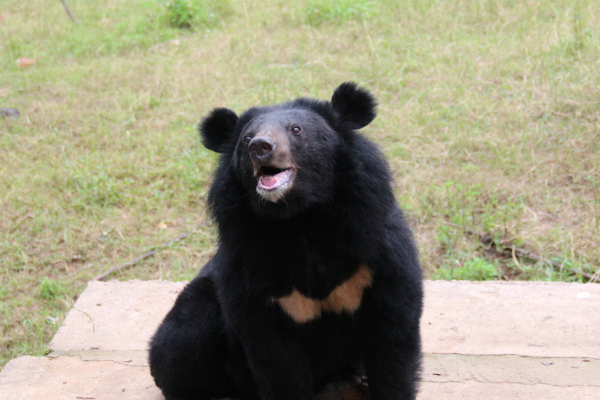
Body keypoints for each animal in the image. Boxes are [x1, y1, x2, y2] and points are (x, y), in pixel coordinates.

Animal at [149, 82, 422, 400]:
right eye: (247, 138)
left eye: (296, 129)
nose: (260, 147)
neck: (299, 220)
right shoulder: (248, 269)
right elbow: (275, 359)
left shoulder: (377, 248)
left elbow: (393, 333)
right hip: (197, 310)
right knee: (178, 346)